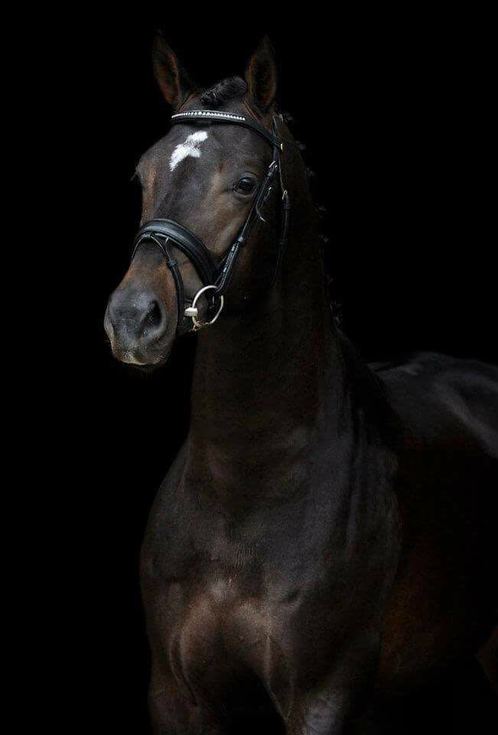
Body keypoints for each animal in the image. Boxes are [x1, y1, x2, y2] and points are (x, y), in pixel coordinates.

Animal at [104, 37, 498, 734]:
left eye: (244, 182)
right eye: (142, 175)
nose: (132, 318)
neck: (247, 488)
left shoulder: (322, 697)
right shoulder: (177, 697)